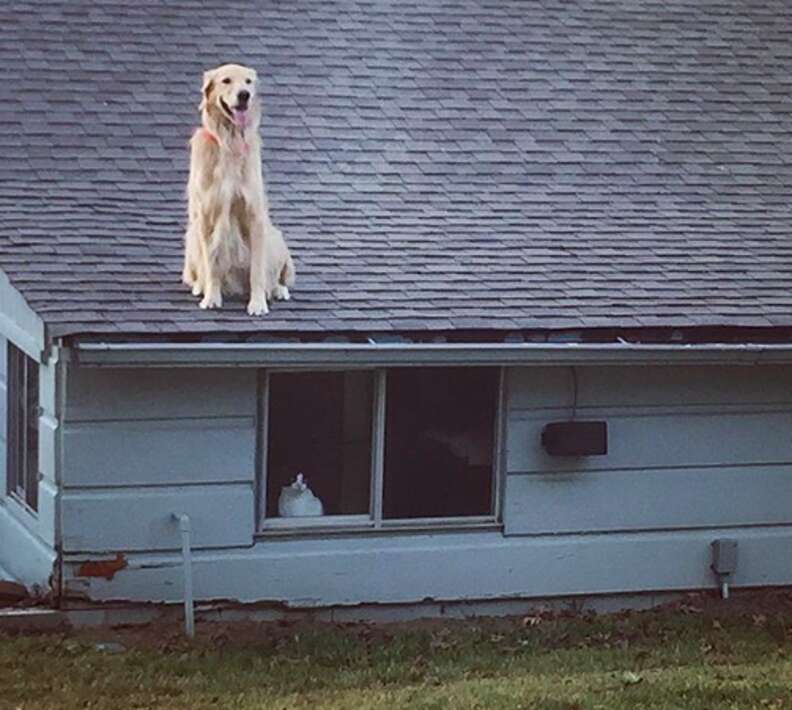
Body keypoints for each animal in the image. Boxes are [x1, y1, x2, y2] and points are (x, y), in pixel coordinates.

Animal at [182, 63, 294, 314]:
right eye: (226, 80)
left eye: (248, 82)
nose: (244, 95)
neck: (230, 142)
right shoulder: (206, 216)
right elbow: (211, 264)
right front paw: (211, 297)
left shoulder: (254, 215)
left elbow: (257, 271)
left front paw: (258, 303)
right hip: (191, 238)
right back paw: (200, 287)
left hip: (275, 236)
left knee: (276, 274)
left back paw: (278, 290)